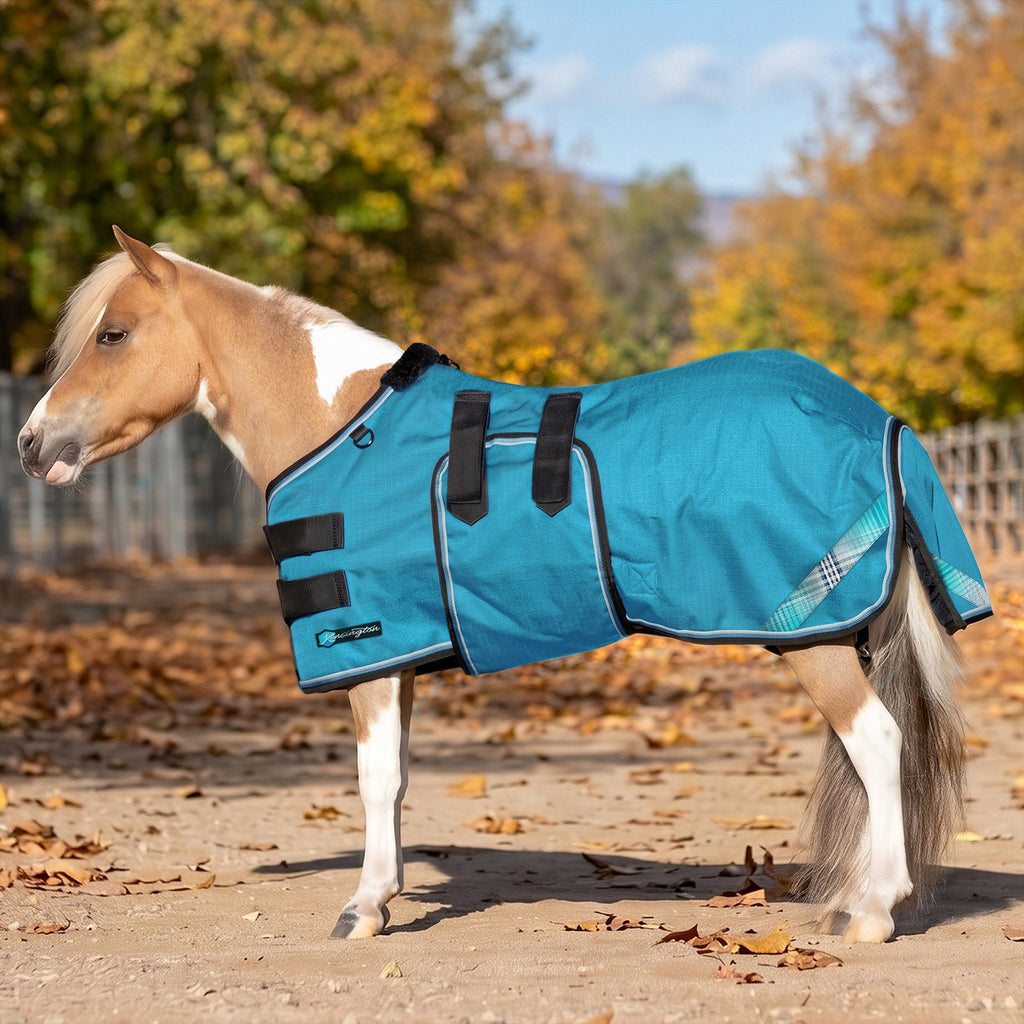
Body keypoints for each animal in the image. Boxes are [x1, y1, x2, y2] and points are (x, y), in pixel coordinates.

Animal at [18, 227, 989, 944]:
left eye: (113, 334)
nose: (32, 443)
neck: (341, 424)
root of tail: (874, 417)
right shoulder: (402, 658)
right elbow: (398, 779)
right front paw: (385, 894)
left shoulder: (368, 652)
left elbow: (373, 779)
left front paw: (362, 909)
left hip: (812, 638)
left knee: (878, 742)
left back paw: (872, 913)